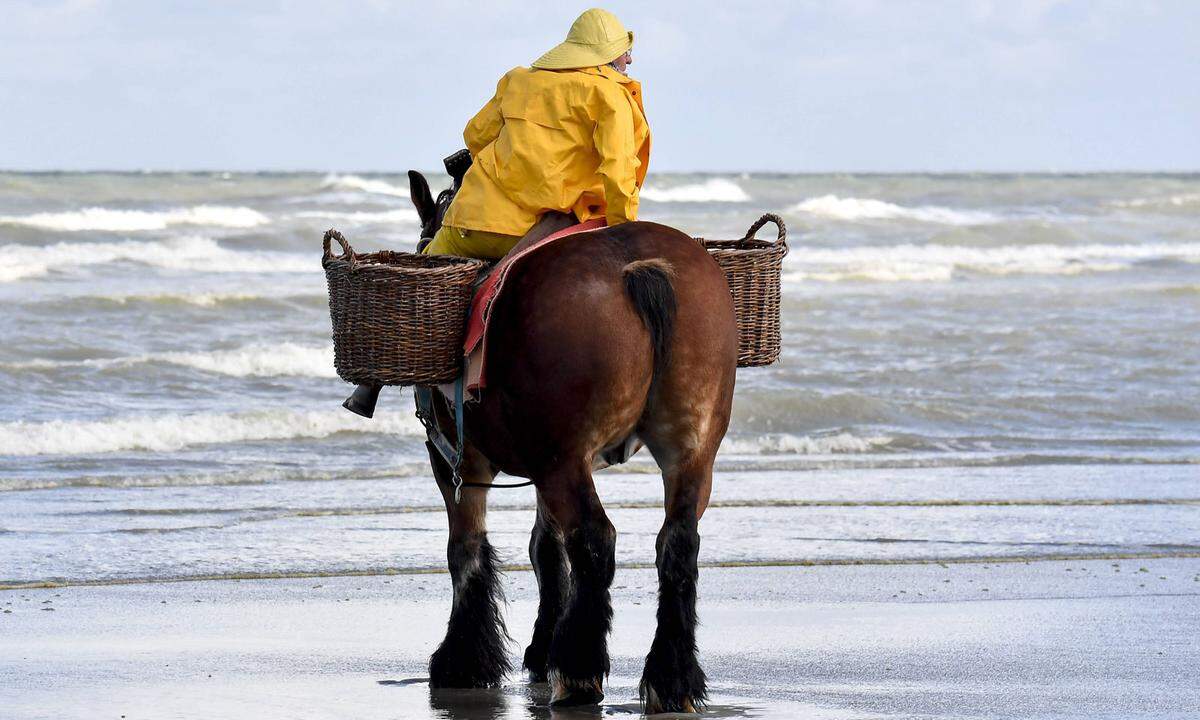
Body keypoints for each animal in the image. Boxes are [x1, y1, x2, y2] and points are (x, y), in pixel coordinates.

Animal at [408, 170, 734, 715]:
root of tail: (638, 266)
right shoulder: (544, 467)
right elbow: (545, 548)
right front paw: (540, 647)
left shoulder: (459, 461)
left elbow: (466, 550)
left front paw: (464, 661)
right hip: (689, 453)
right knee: (677, 544)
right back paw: (670, 678)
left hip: (563, 461)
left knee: (595, 539)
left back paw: (579, 672)